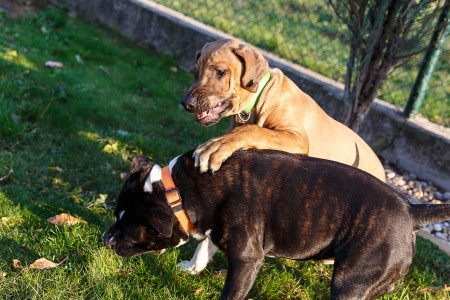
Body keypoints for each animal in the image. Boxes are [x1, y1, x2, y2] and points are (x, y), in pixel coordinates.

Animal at [103, 150, 450, 300]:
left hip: (350, 282)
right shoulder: (216, 229)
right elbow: (205, 245)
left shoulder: (246, 259)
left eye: (131, 231)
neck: (182, 190)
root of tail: (411, 210)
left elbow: (231, 291)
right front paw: (191, 267)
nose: (106, 239)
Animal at [181, 38, 384, 182]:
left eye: (220, 72)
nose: (186, 103)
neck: (258, 97)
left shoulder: (297, 138)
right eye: (195, 72)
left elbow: (253, 130)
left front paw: (216, 146)